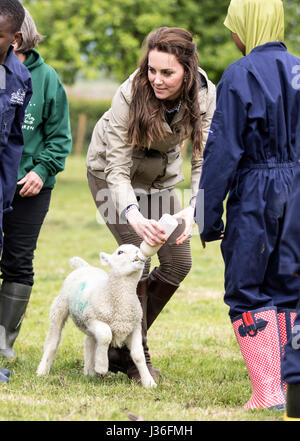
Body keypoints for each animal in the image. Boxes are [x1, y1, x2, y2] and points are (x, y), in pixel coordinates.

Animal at [36, 242, 156, 386]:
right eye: (120, 252)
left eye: (137, 249)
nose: (139, 253)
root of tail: (85, 267)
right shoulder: (93, 319)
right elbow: (106, 336)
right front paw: (102, 366)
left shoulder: (134, 326)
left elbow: (138, 355)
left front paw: (148, 382)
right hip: (60, 307)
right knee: (53, 341)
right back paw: (43, 370)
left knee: (89, 341)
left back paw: (89, 372)